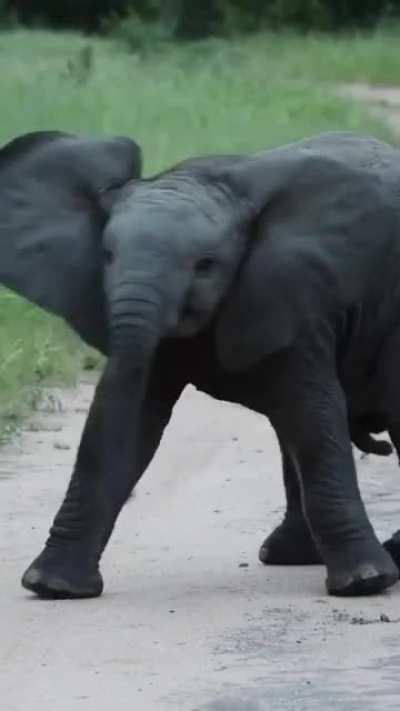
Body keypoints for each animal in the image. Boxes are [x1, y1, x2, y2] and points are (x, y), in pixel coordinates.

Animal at [1, 130, 400, 600]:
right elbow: (131, 420)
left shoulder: (297, 297)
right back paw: (287, 555)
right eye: (107, 256)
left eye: (205, 265)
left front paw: (366, 583)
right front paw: (54, 587)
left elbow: (314, 420)